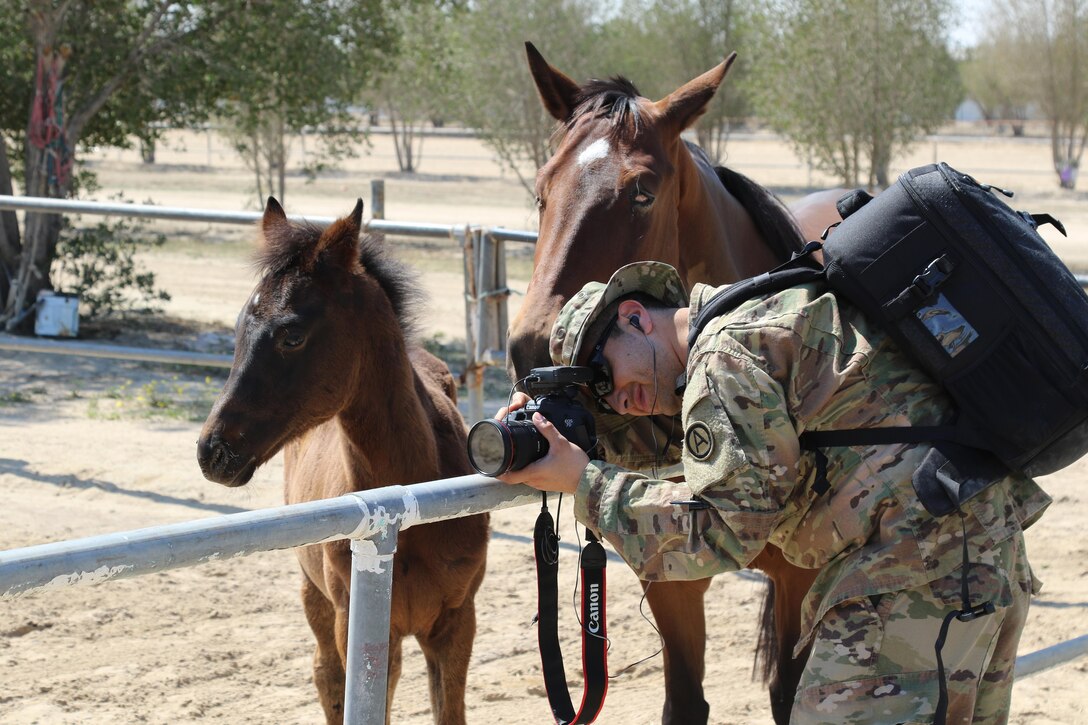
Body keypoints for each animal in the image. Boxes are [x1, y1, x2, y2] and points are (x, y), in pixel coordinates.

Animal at [195, 199, 489, 722]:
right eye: (239, 327)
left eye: (292, 335)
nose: (212, 451)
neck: (411, 504)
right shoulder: (360, 623)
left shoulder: (456, 623)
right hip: (315, 594)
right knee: (325, 675)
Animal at [504, 45, 844, 722]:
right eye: (543, 187)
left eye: (642, 192)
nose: (529, 346)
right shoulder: (669, 571)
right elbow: (684, 701)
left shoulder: (803, 578)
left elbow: (791, 693)